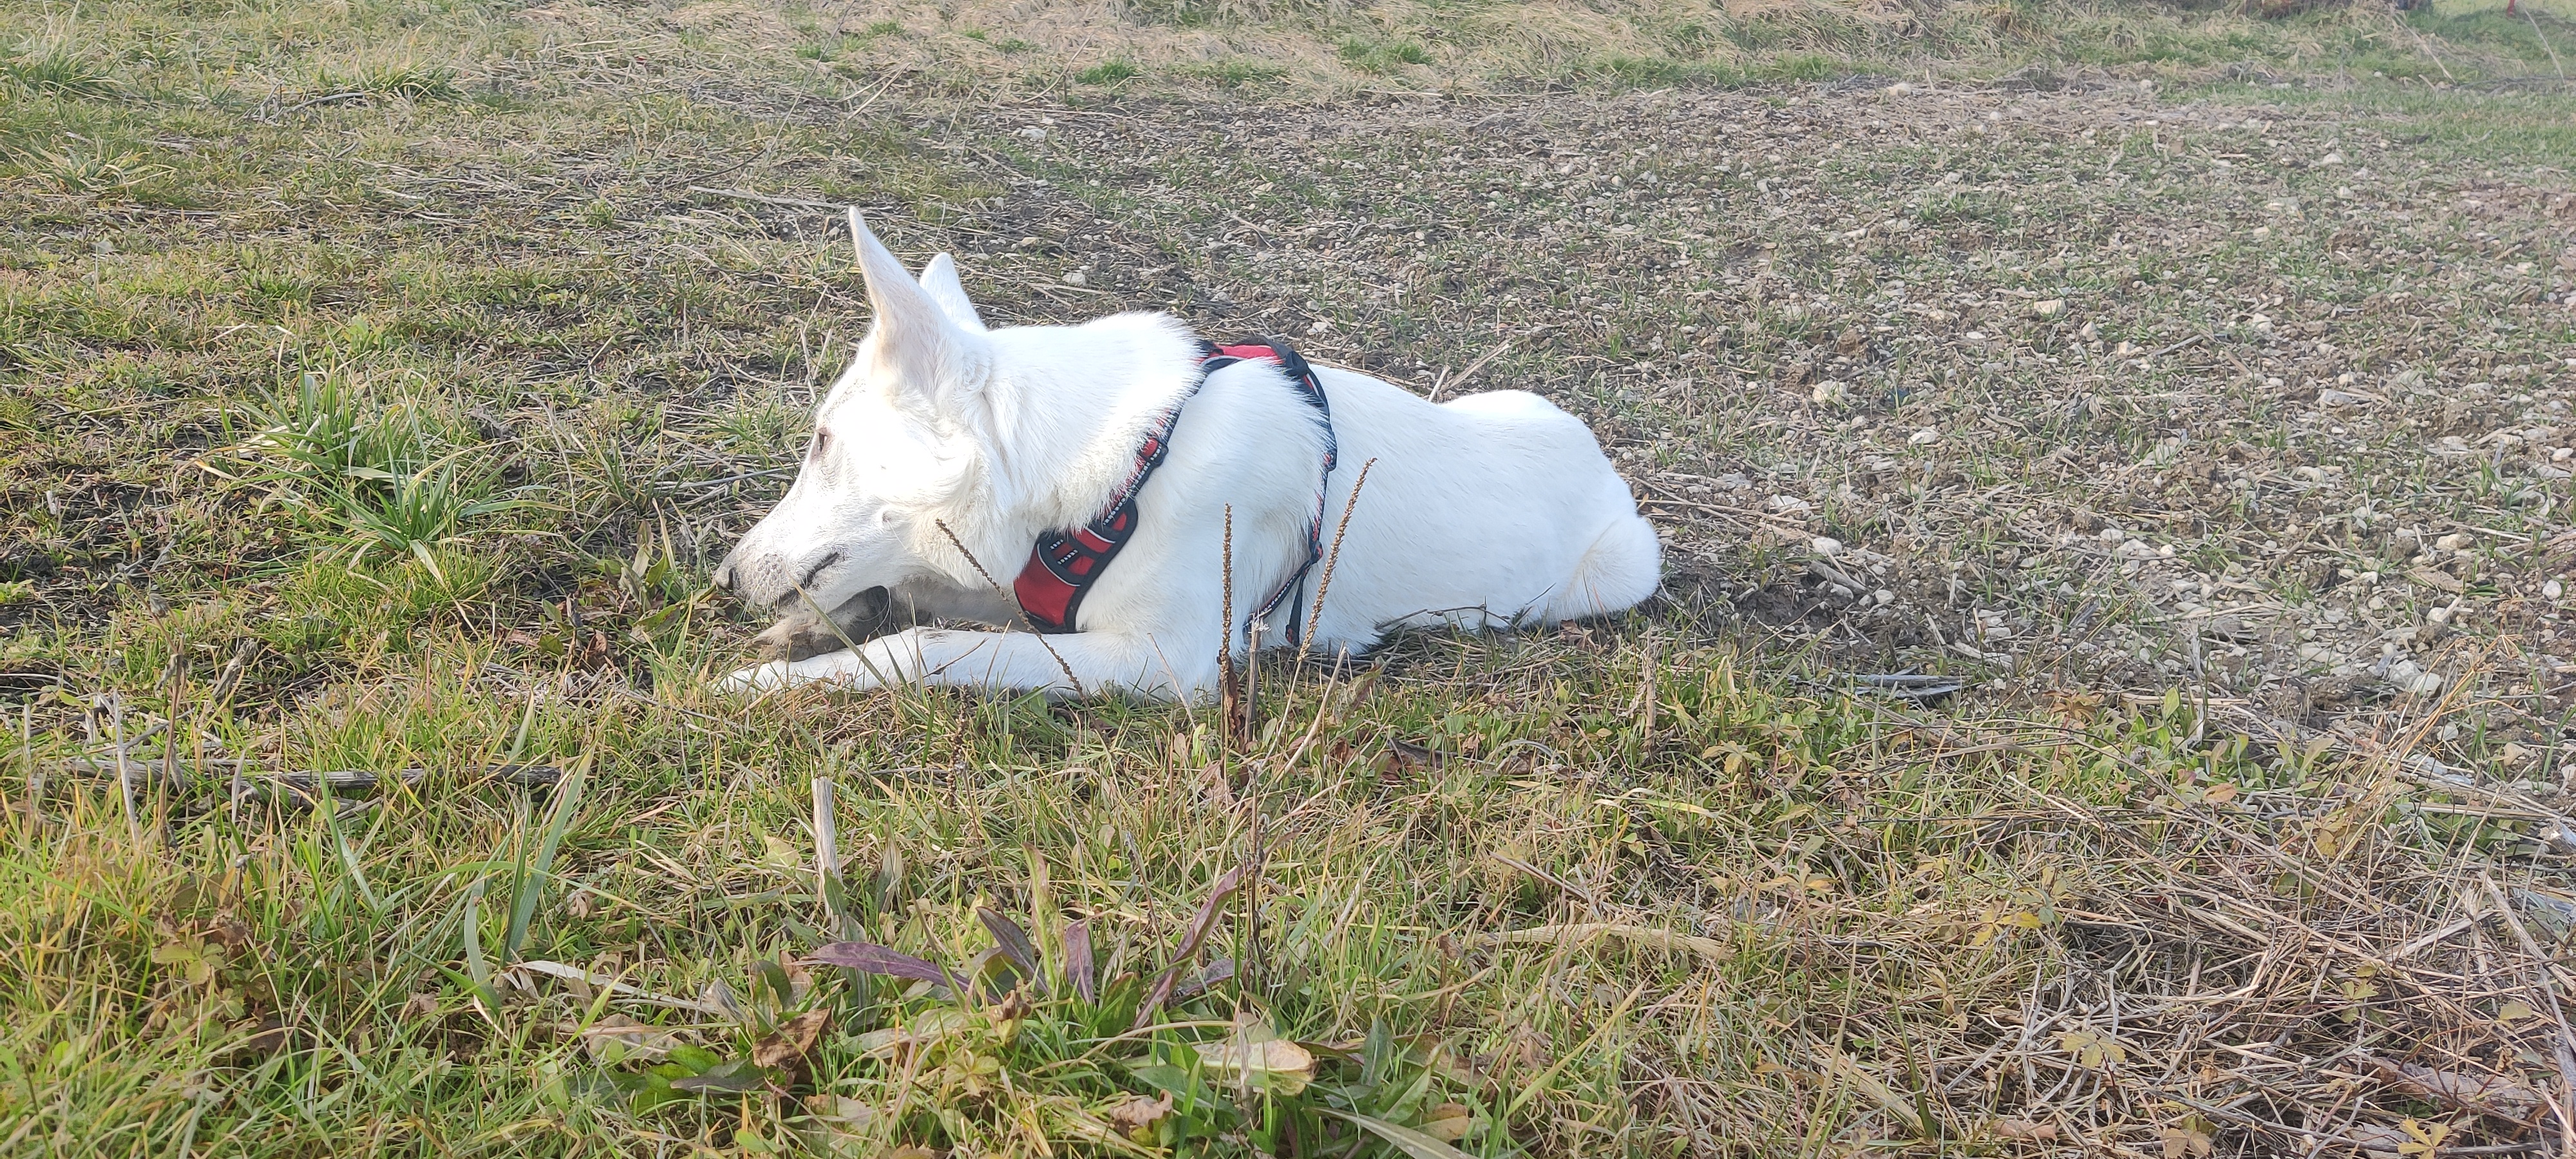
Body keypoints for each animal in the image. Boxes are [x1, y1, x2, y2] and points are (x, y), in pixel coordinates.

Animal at [711, 211, 1661, 698]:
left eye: (821, 442)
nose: (723, 577)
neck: (1125, 464)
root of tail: (1603, 469)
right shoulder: (1026, 588)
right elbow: (910, 595)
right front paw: (812, 626)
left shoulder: (1158, 660)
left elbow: (924, 646)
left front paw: (770, 682)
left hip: (1615, 574)